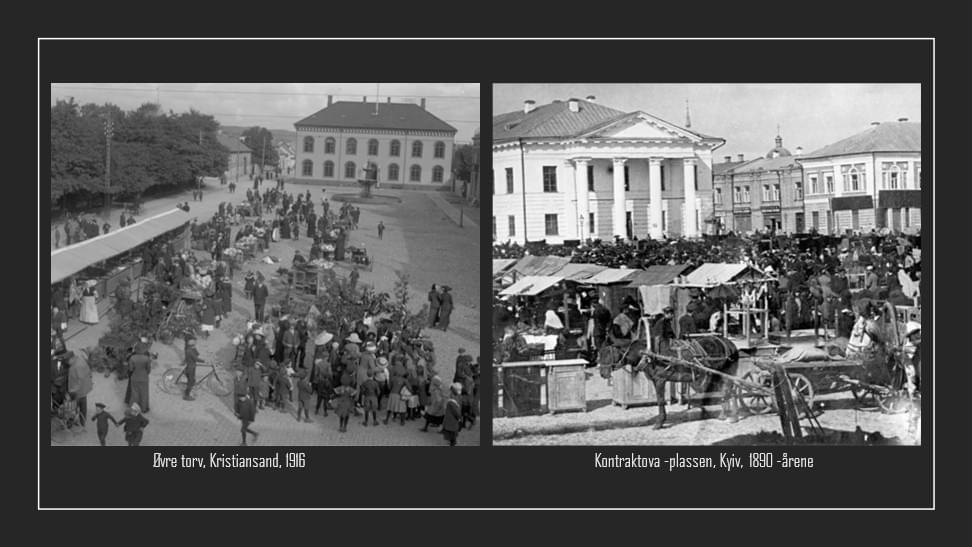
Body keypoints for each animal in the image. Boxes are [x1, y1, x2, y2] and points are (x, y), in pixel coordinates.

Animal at [596, 334, 740, 432]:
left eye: (608, 353)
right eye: (600, 354)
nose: (602, 374)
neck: (648, 354)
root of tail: (731, 344)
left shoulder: (660, 380)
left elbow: (660, 401)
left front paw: (659, 423)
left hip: (725, 373)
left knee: (730, 391)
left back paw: (733, 416)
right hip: (719, 374)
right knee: (728, 391)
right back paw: (725, 414)